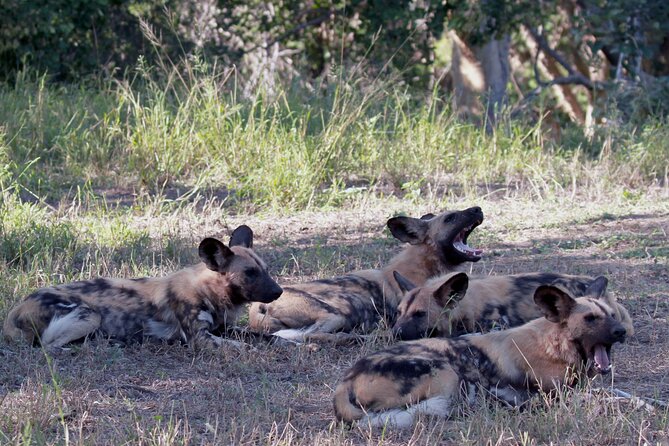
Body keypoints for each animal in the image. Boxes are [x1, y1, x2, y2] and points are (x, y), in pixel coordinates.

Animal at [1, 226, 282, 352]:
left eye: (266, 269)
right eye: (250, 273)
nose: (279, 292)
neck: (209, 291)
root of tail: (15, 311)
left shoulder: (223, 329)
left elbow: (266, 336)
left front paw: (290, 343)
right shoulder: (200, 338)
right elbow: (246, 347)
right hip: (89, 315)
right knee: (47, 347)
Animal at [334, 278, 628, 428]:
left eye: (612, 315)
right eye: (590, 319)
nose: (621, 331)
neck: (555, 345)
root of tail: (344, 383)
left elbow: (622, 393)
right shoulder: (558, 394)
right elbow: (607, 397)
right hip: (446, 373)